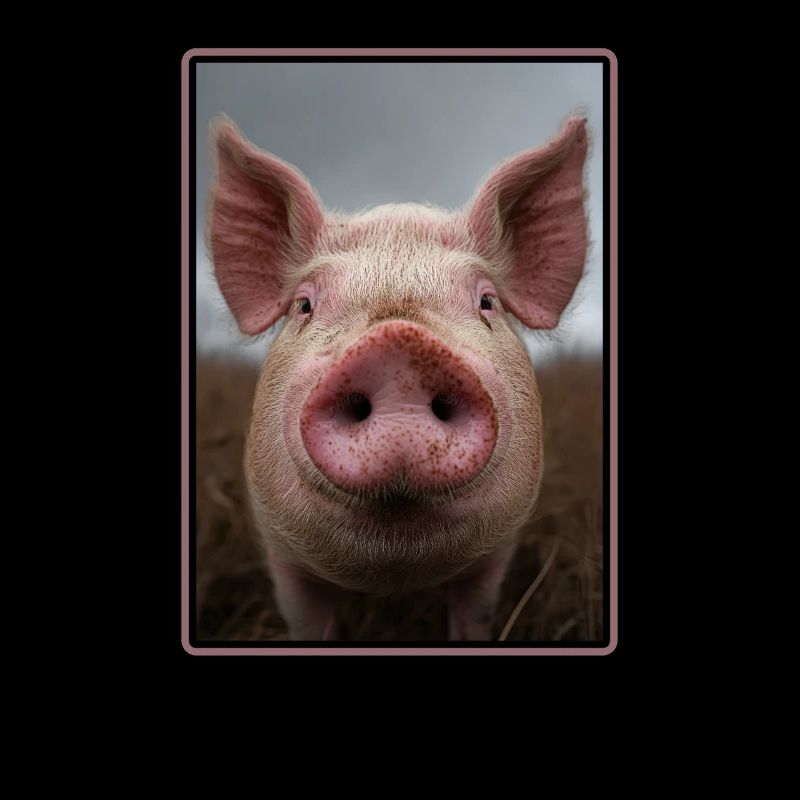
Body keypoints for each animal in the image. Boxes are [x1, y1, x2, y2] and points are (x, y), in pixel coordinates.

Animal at [206, 113, 589, 641]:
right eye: (304, 305)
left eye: (487, 302)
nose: (399, 345)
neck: (395, 573)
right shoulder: (283, 556)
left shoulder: (495, 556)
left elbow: (474, 616)